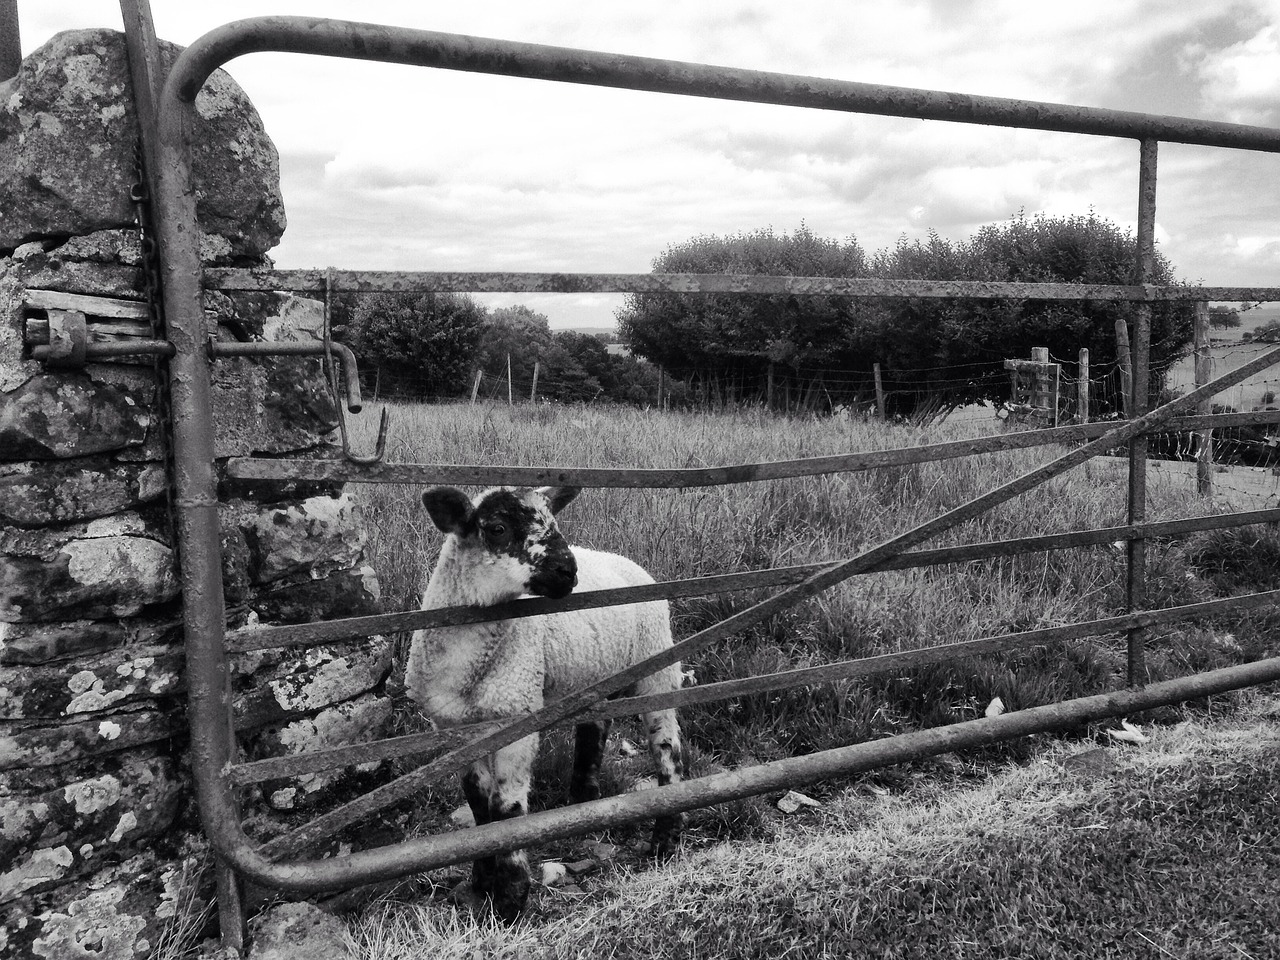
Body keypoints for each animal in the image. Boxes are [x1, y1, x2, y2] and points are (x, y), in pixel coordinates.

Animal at [404, 488, 686, 926]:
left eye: (553, 522)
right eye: (497, 528)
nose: (567, 571)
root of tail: (625, 560)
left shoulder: (517, 712)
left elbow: (506, 809)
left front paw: (509, 903)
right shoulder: (453, 729)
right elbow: (478, 804)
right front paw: (480, 883)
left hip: (657, 661)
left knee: (668, 746)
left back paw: (665, 841)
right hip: (593, 674)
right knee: (593, 729)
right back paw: (584, 802)